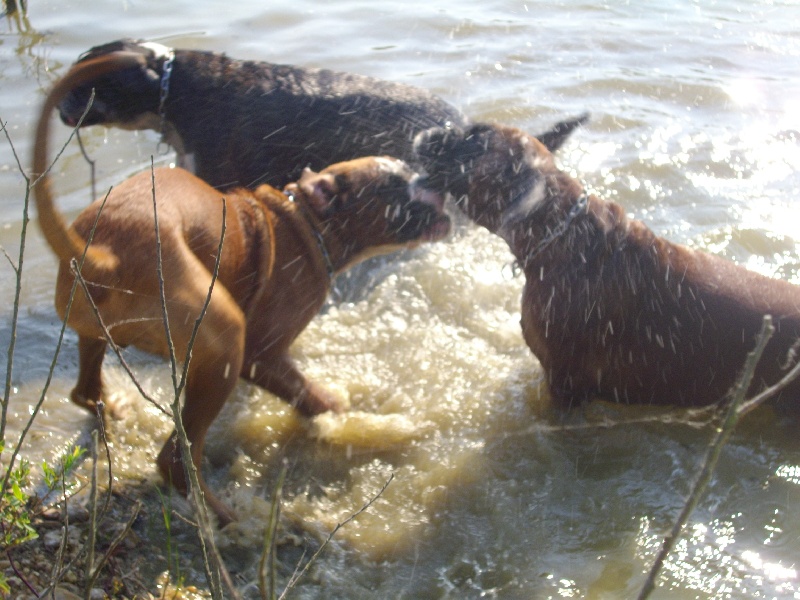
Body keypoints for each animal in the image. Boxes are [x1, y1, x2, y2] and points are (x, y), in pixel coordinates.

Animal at [34, 54, 451, 525]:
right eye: (397, 186)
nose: (438, 182)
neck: (305, 222)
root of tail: (105, 255)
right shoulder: (260, 356)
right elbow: (314, 398)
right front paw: (353, 418)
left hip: (94, 333)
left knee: (85, 392)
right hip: (223, 347)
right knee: (176, 455)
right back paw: (221, 516)